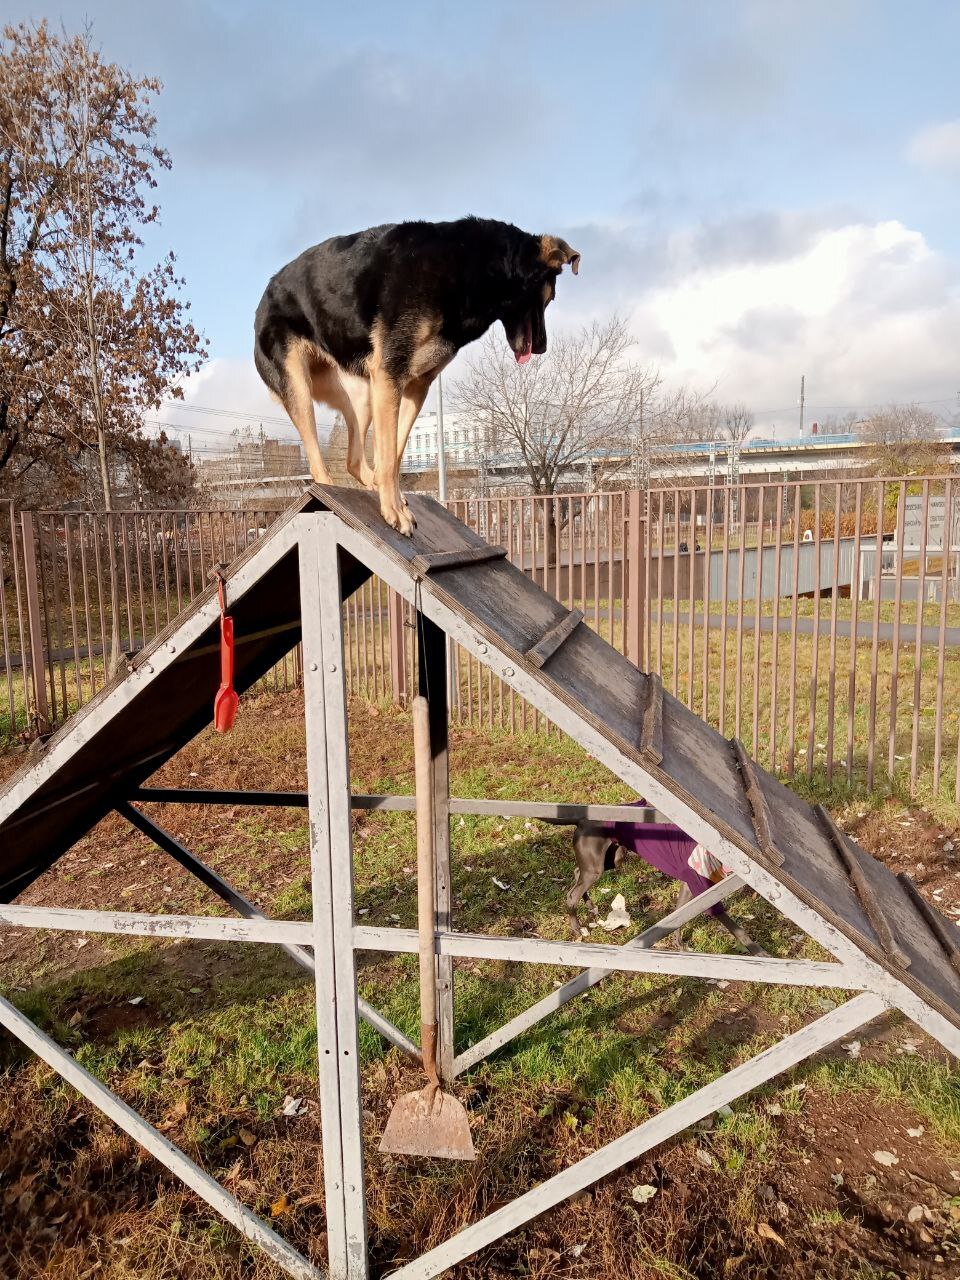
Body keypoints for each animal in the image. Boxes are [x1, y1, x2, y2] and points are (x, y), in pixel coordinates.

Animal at [253, 216, 578, 535]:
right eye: (549, 298)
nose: (543, 348)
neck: (470, 265)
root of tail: (262, 301)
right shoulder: (391, 374)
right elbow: (388, 456)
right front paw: (393, 511)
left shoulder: (415, 386)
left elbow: (394, 454)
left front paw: (393, 498)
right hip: (300, 387)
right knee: (318, 464)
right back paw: (328, 492)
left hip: (362, 396)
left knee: (353, 460)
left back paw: (369, 483)